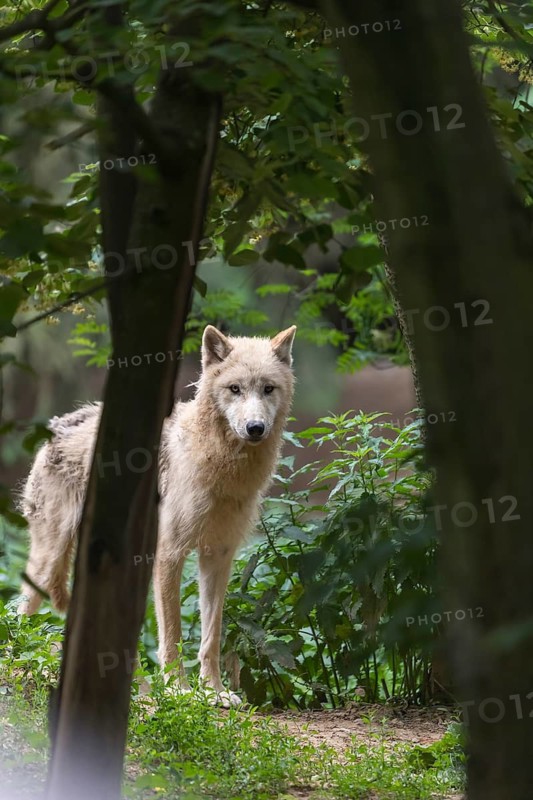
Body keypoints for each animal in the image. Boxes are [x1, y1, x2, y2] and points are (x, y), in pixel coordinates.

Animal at [18, 324, 296, 706]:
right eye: (235, 389)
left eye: (268, 389)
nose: (255, 428)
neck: (221, 466)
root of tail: (60, 422)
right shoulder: (169, 554)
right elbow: (173, 634)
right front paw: (179, 690)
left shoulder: (218, 557)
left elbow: (211, 635)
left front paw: (215, 692)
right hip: (50, 559)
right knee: (20, 612)